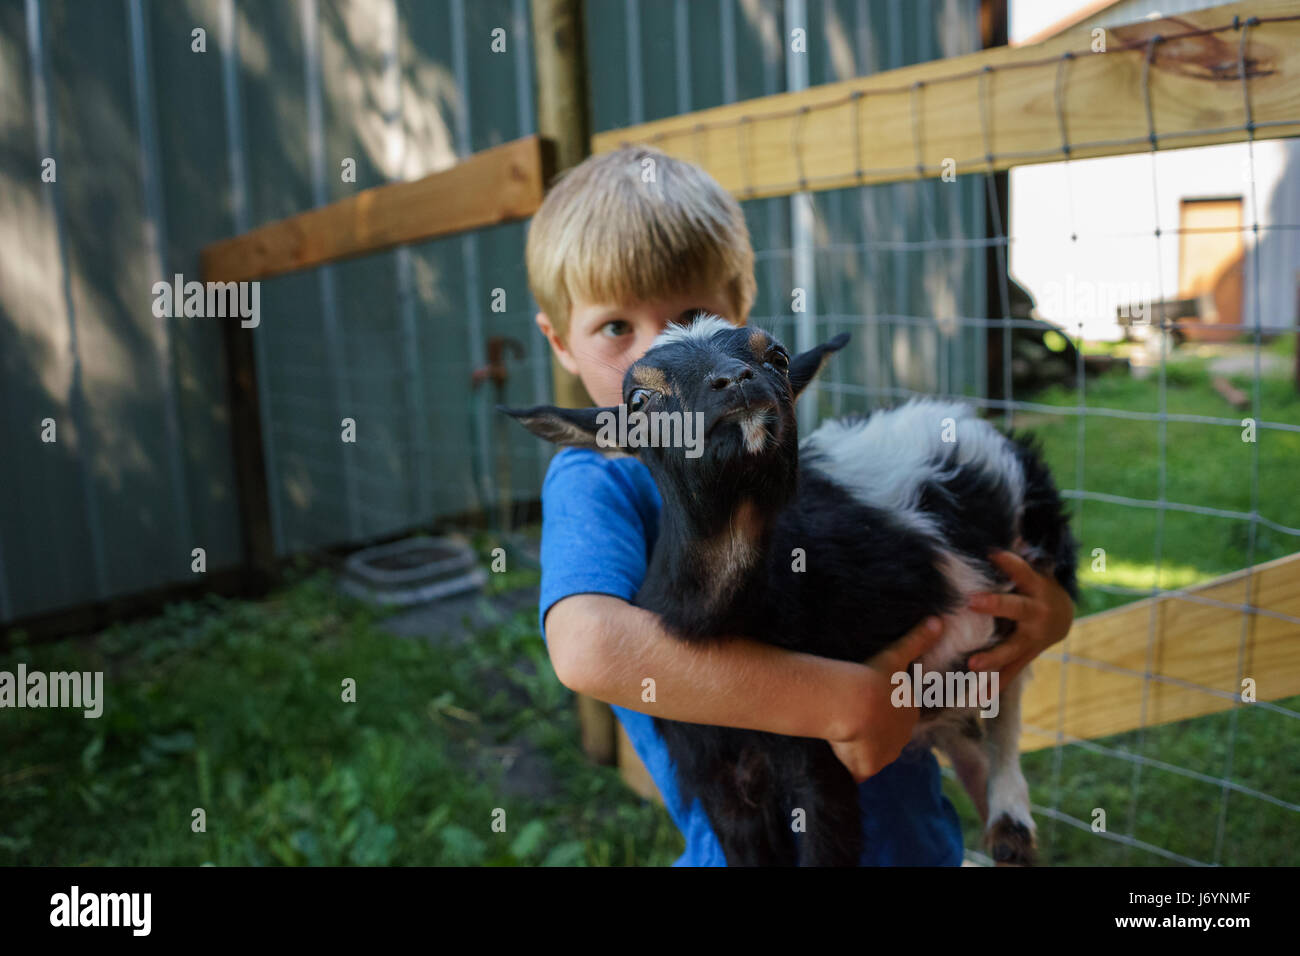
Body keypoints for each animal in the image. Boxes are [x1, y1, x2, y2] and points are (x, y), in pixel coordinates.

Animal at [504, 314, 1078, 866]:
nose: (736, 380)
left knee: (1008, 692)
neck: (720, 621)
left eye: (777, 356)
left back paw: (1009, 822)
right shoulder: (712, 771)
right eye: (639, 399)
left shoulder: (818, 752)